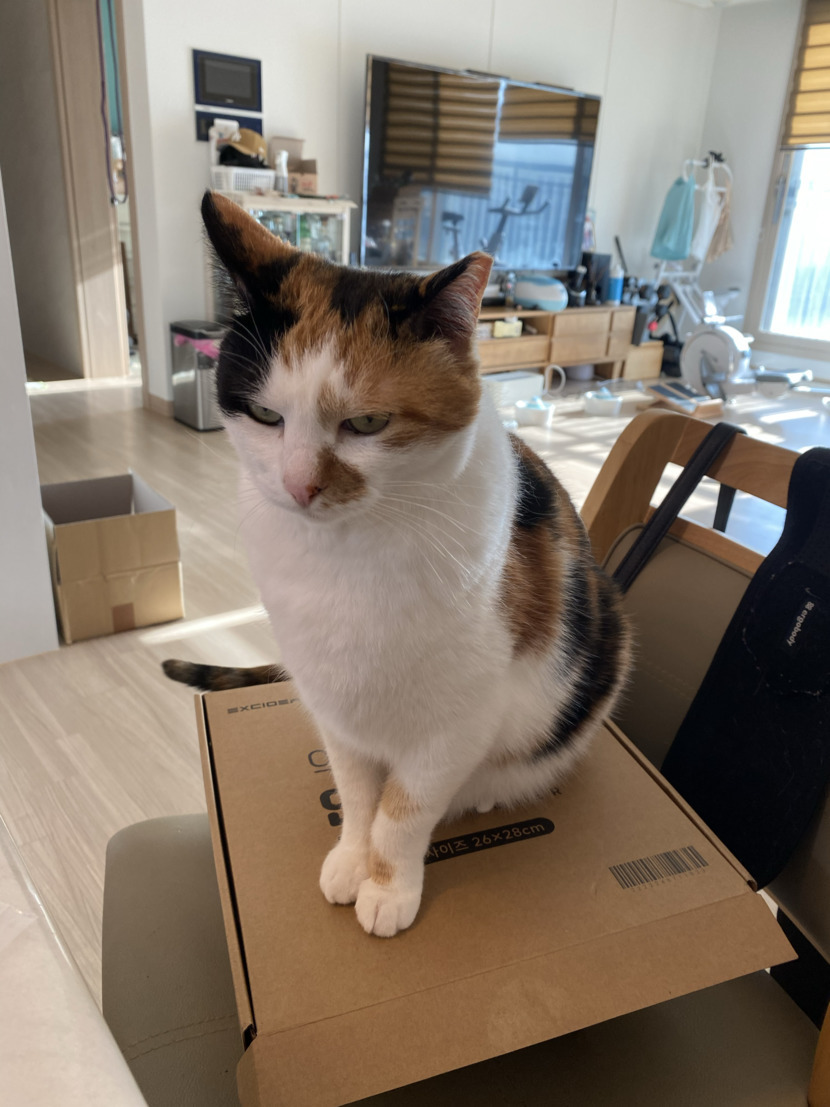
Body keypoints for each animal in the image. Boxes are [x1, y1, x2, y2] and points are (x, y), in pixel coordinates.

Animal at [164, 190, 631, 938]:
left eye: (367, 424)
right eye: (265, 414)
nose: (298, 486)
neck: (349, 555)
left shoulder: (458, 722)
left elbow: (403, 815)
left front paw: (387, 889)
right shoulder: (335, 710)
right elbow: (358, 800)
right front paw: (351, 861)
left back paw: (482, 795)